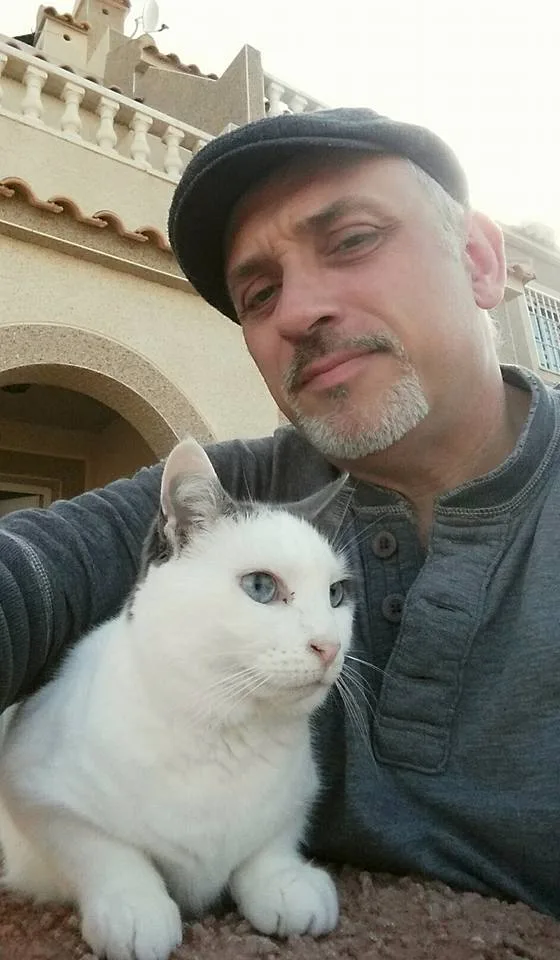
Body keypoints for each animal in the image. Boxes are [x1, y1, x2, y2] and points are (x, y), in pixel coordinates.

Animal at [0, 437, 355, 960]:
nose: (329, 646)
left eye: (336, 595)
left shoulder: (298, 795)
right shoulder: (35, 791)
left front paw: (286, 882)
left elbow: (270, 844)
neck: (225, 731)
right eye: (261, 587)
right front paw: (135, 908)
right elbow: (105, 851)